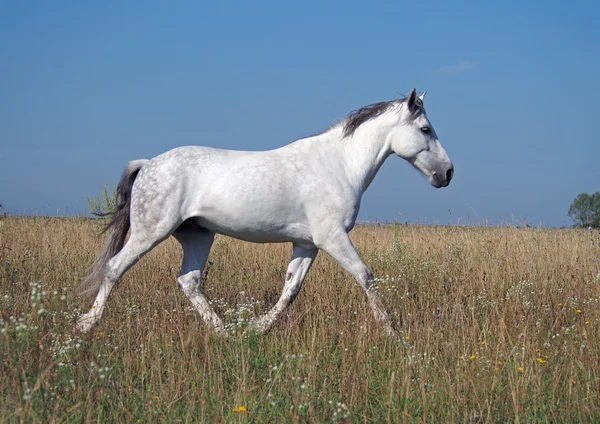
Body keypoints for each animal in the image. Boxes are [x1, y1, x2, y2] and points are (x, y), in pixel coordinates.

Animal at [78, 88, 454, 334]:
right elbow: (365, 276)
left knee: (189, 281)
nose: (447, 173)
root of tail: (147, 164)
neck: (338, 165)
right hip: (150, 232)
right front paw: (392, 332)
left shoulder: (308, 244)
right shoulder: (332, 238)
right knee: (114, 268)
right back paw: (86, 325)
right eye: (425, 129)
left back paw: (224, 332)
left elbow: (291, 288)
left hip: (198, 236)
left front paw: (259, 327)